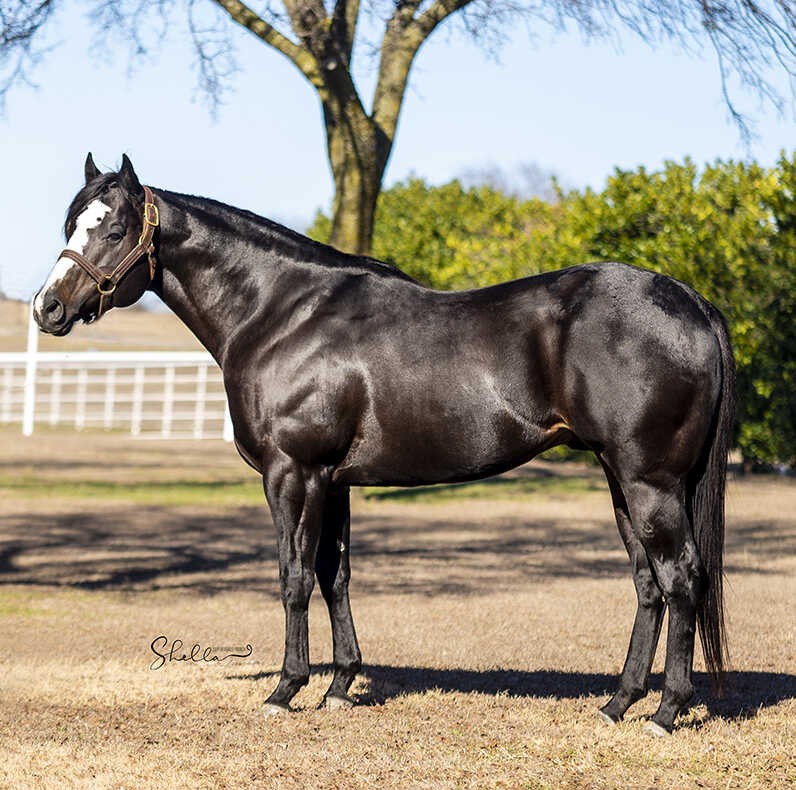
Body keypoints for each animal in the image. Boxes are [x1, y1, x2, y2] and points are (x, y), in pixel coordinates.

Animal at [35, 155, 732, 736]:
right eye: (70, 223)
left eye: (115, 229)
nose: (48, 308)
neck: (282, 315)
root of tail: (689, 301)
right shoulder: (333, 481)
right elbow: (334, 575)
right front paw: (340, 686)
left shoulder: (293, 474)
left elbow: (293, 576)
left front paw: (287, 690)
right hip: (621, 479)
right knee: (648, 584)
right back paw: (617, 704)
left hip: (649, 482)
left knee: (680, 578)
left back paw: (665, 713)